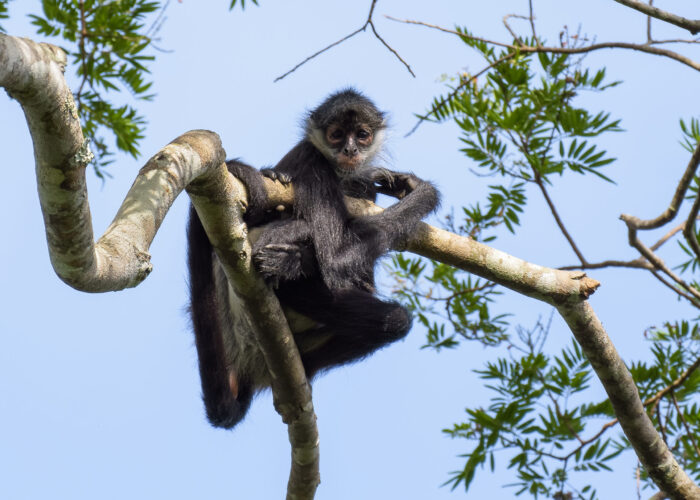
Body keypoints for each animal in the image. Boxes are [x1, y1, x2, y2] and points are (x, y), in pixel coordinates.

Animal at [187, 88, 440, 429]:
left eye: (362, 134)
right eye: (336, 135)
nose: (349, 149)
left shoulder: (361, 185)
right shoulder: (311, 159)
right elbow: (334, 258)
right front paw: (424, 190)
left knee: (393, 320)